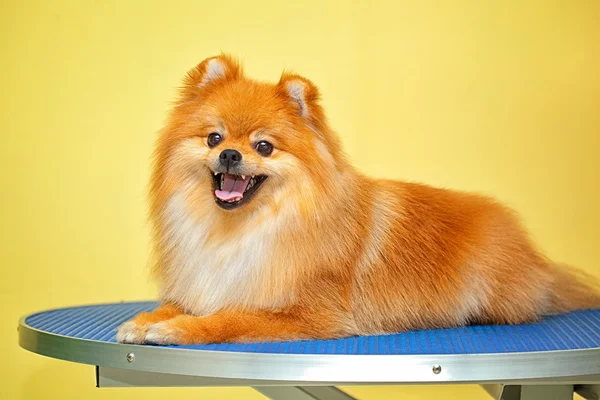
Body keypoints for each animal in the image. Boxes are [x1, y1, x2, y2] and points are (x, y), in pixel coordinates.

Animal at [117, 54, 600, 346]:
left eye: (264, 147)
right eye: (214, 138)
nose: (231, 154)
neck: (242, 230)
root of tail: (536, 257)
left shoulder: (312, 313)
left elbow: (231, 317)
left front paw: (178, 328)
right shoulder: (212, 280)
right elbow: (178, 303)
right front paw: (144, 321)